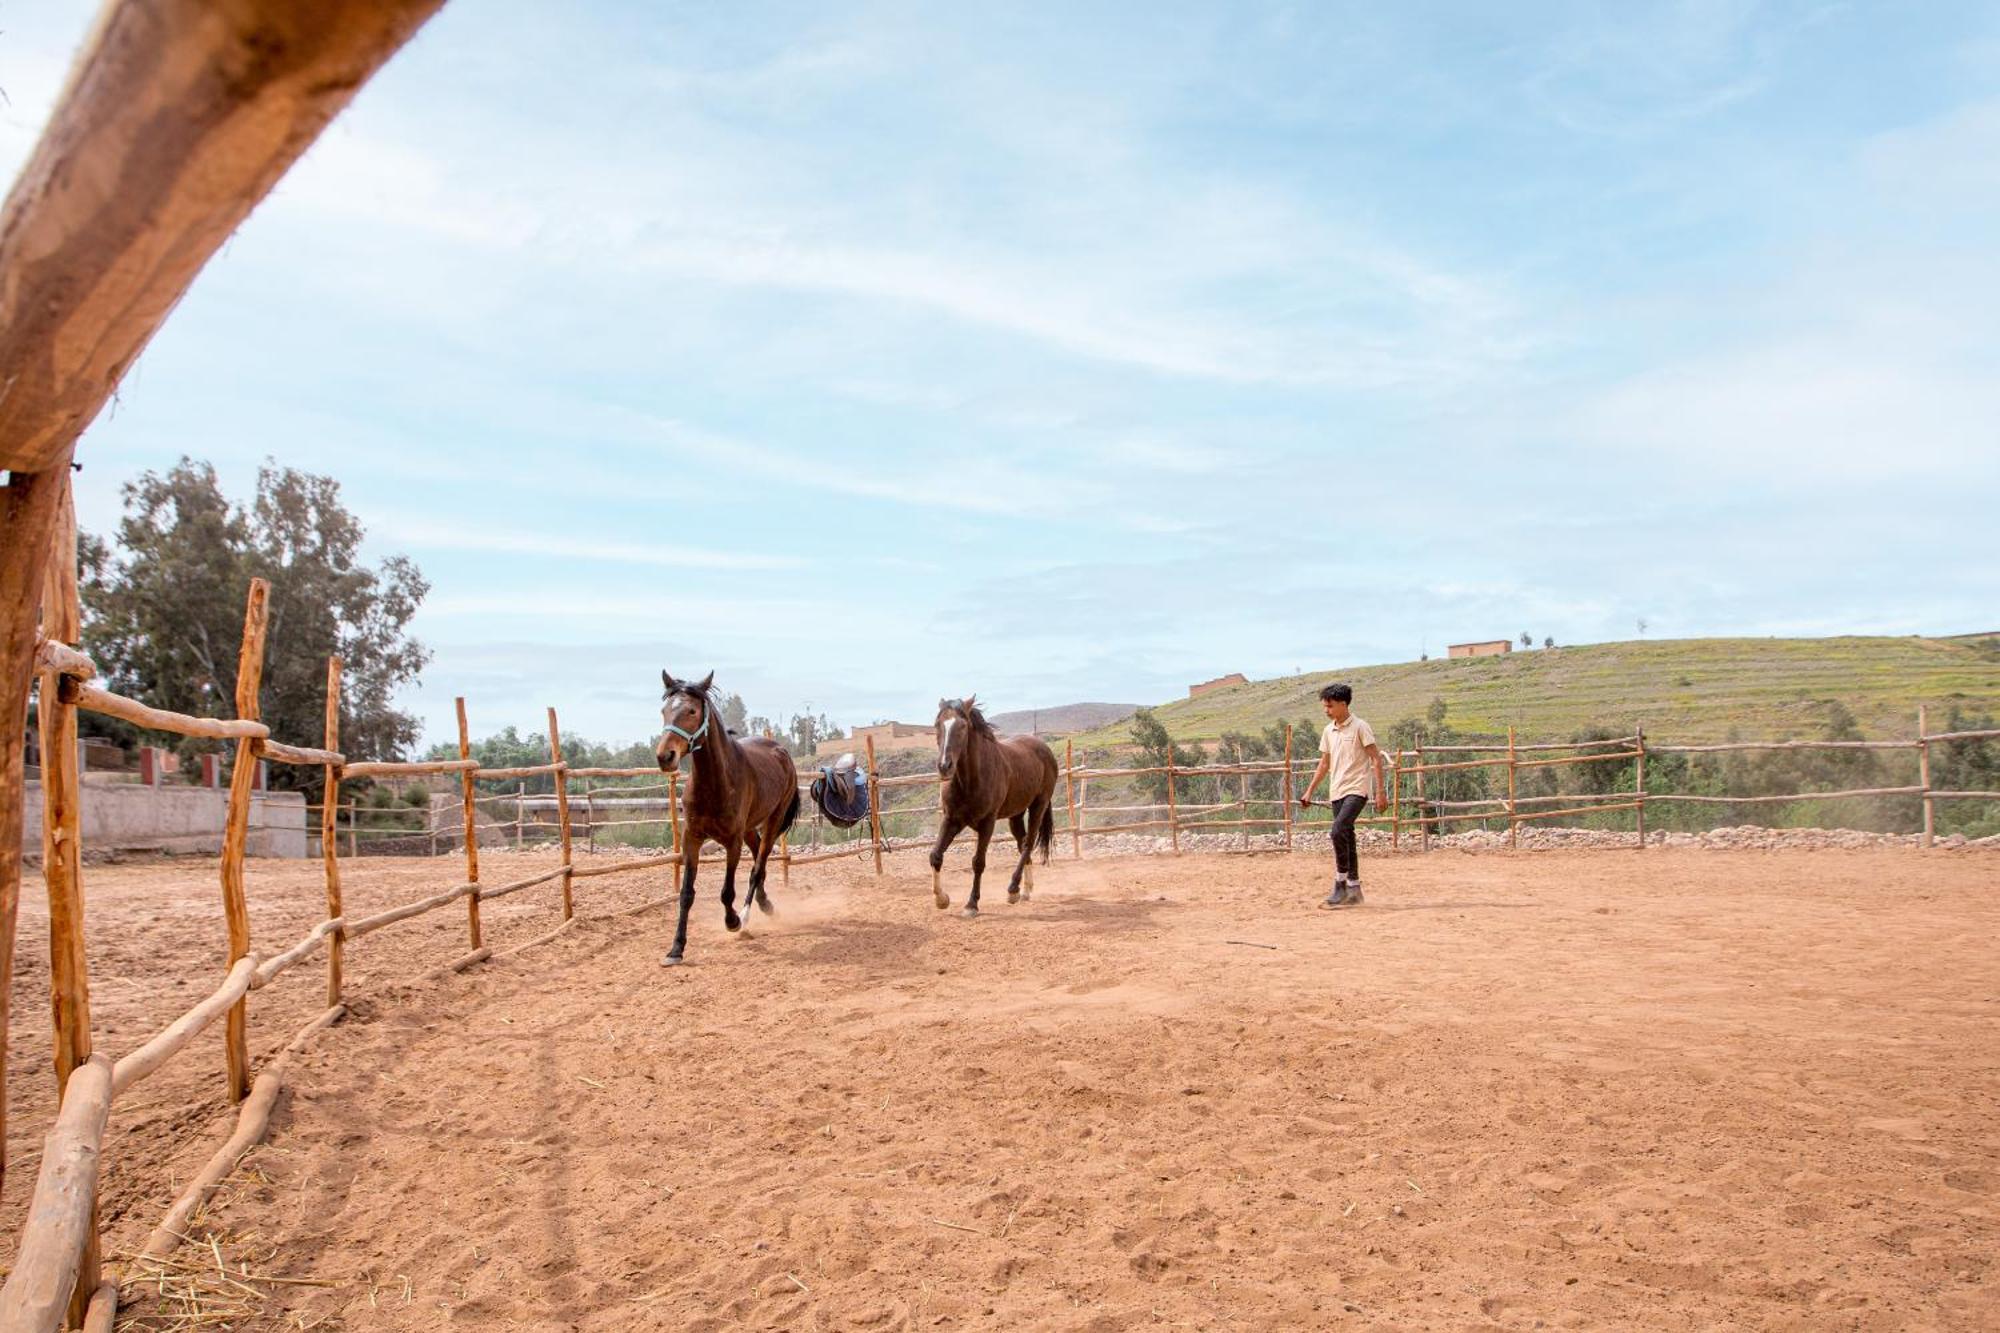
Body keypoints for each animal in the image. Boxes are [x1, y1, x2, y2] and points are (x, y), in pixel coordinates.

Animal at [656, 668, 796, 960]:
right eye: (664, 710)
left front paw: (732, 921)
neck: (715, 783)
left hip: (773, 822)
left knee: (757, 867)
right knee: (758, 862)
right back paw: (765, 905)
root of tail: (780, 750)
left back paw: (746, 916)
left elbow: (727, 892)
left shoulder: (732, 841)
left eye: (691, 711)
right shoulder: (692, 838)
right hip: (749, 829)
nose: (665, 756)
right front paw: (676, 948)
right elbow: (686, 893)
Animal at [928, 696, 1064, 912]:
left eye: (963, 726)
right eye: (937, 724)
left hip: (1039, 805)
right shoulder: (951, 819)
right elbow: (935, 855)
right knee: (1022, 843)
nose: (944, 766)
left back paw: (1013, 889)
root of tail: (1044, 748)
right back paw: (1024, 891)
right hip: (1016, 815)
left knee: (1028, 843)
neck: (970, 780)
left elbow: (978, 862)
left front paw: (972, 904)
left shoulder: (987, 823)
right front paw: (941, 899)